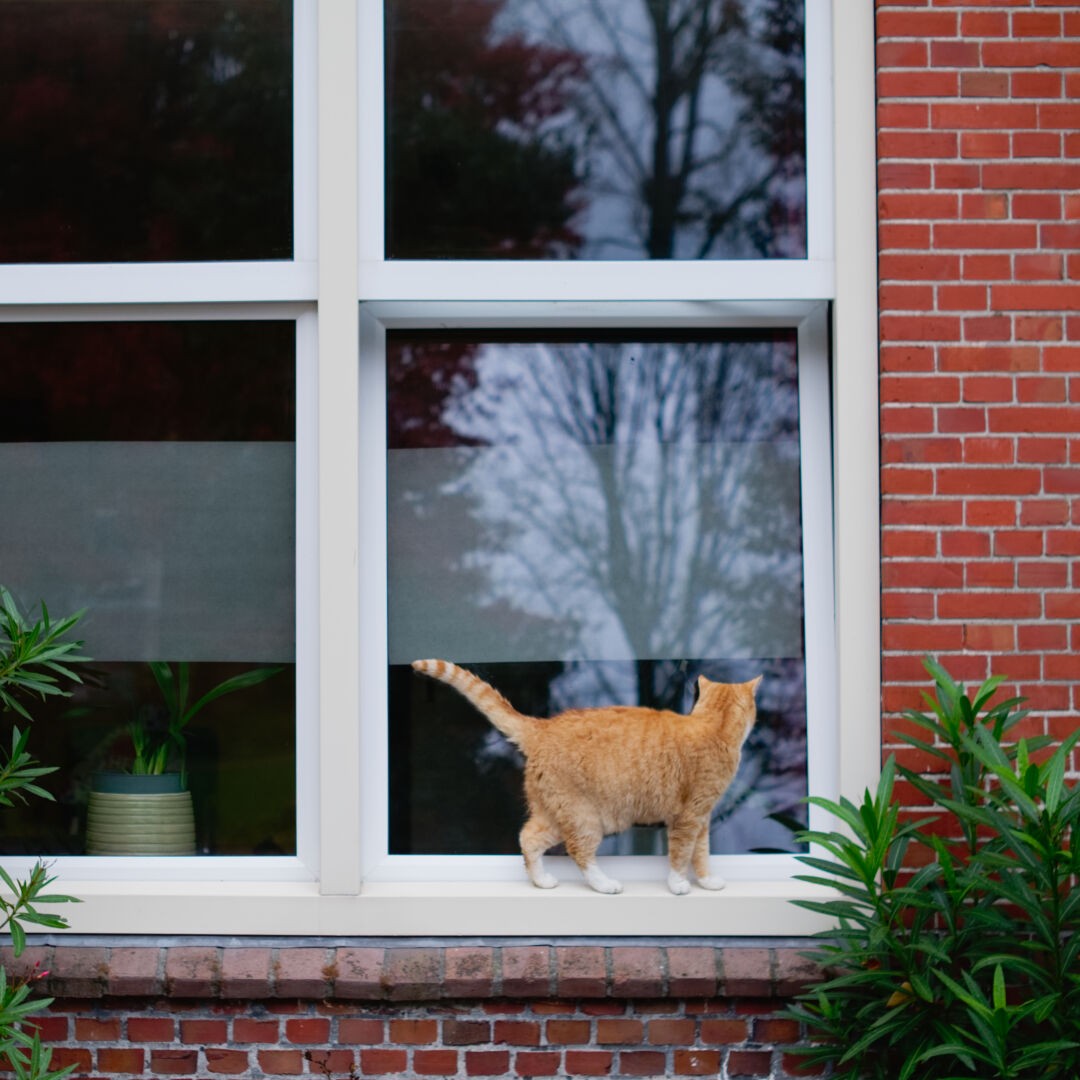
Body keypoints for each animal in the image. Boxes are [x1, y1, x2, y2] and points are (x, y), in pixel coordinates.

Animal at [410, 656, 760, 894]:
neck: (714, 725)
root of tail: (543, 727)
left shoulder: (702, 818)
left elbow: (701, 853)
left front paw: (707, 881)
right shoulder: (688, 818)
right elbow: (680, 854)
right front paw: (678, 885)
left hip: (556, 814)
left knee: (528, 838)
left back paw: (542, 881)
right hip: (587, 819)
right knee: (579, 852)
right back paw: (605, 884)